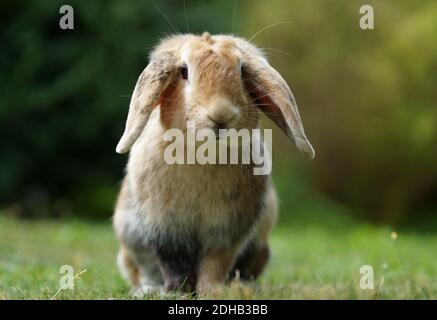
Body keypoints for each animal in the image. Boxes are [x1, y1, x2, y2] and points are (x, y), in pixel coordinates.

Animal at [112, 31, 314, 296]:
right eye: (184, 71)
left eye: (241, 70)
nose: (221, 116)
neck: (204, 152)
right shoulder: (165, 226)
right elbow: (174, 264)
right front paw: (178, 293)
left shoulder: (227, 230)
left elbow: (215, 264)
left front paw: (212, 292)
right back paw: (147, 289)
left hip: (260, 248)